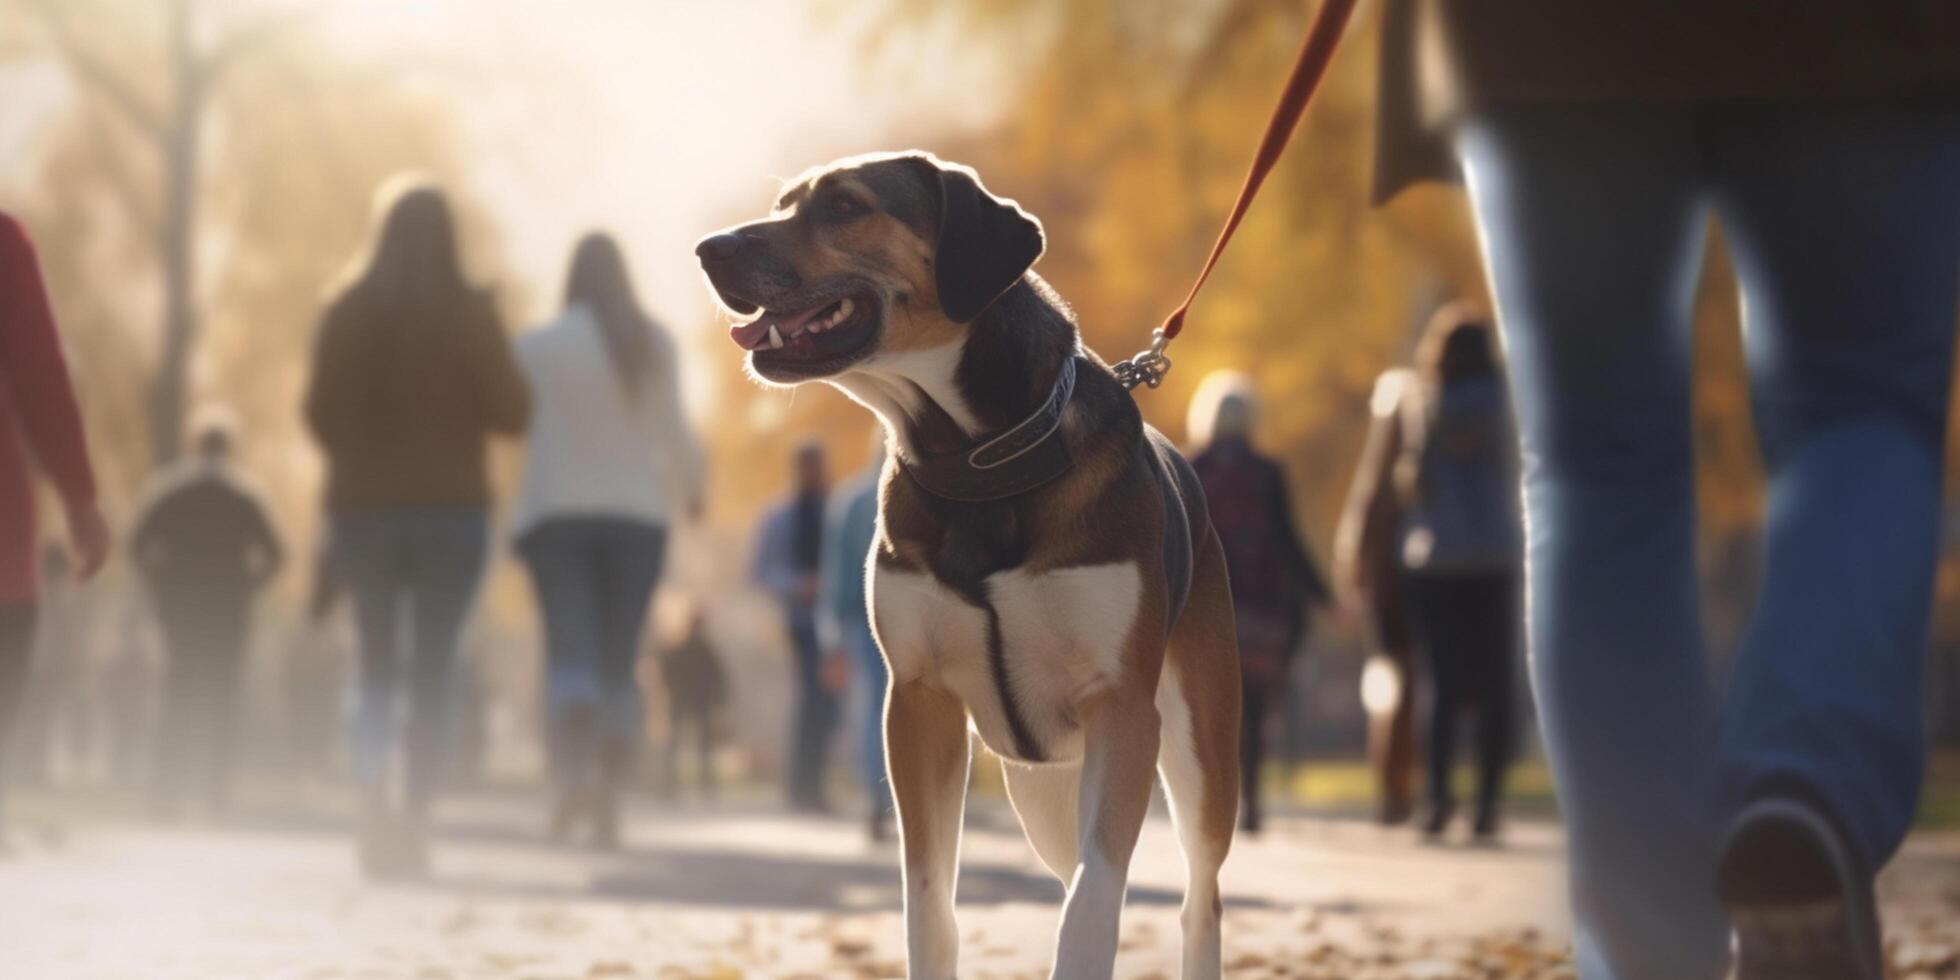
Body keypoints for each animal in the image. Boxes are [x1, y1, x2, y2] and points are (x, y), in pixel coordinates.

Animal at [697, 152, 1230, 980]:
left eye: (845, 206)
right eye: (785, 202)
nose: (709, 249)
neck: (985, 462)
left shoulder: (1122, 708)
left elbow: (1096, 896)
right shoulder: (919, 701)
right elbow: (929, 896)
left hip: (1197, 748)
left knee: (1198, 896)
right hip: (1041, 784)